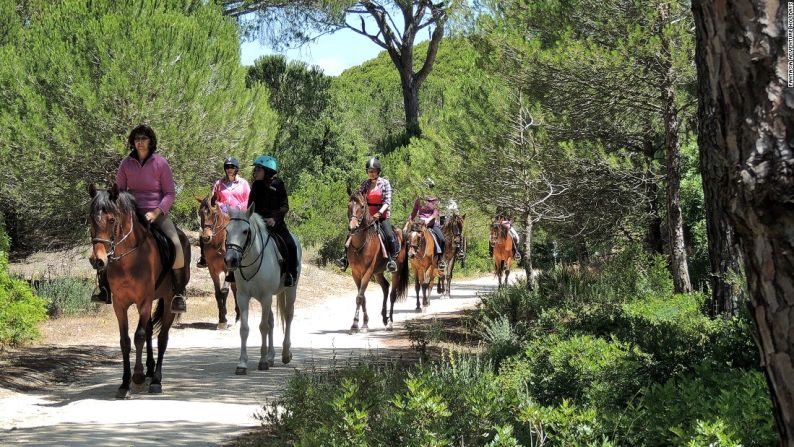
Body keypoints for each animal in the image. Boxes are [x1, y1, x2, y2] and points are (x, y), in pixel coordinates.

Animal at [87, 183, 190, 400]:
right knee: (151, 331)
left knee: (162, 338)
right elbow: (125, 341)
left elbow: (139, 336)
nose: (97, 260)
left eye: (112, 219)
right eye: (91, 218)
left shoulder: (144, 301)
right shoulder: (120, 304)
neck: (128, 260)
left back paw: (156, 380)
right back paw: (150, 370)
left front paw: (138, 377)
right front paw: (125, 383)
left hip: (168, 300)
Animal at [195, 194, 238, 330]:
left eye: (214, 214)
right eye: (200, 213)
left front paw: (224, 320)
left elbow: (224, 291)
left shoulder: (229, 268)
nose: (206, 237)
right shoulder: (212, 269)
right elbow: (218, 293)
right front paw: (222, 319)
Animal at [223, 208, 300, 376]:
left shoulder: (266, 297)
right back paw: (271, 356)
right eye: (227, 230)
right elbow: (245, 329)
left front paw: (263, 361)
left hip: (290, 290)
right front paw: (242, 363)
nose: (231, 260)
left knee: (288, 316)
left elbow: (263, 327)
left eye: (245, 231)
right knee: (271, 320)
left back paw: (285, 354)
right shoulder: (243, 297)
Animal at [344, 189, 408, 332]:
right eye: (348, 205)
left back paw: (390, 323)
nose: (352, 227)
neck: (361, 243)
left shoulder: (367, 271)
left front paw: (355, 324)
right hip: (378, 272)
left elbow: (359, 297)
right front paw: (364, 323)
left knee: (392, 294)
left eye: (362, 206)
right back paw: (384, 318)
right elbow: (362, 297)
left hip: (396, 271)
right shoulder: (356, 273)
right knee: (385, 287)